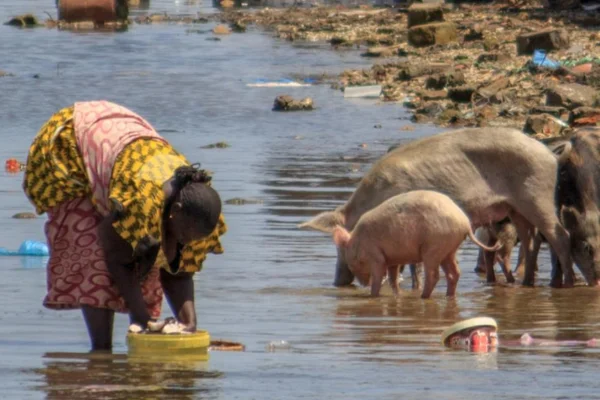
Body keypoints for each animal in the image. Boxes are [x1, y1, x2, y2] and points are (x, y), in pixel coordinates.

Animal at [330, 190, 504, 296]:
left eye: (350, 263)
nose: (363, 284)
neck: (358, 243)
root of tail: (465, 224)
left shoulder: (376, 256)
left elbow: (379, 277)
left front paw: (373, 295)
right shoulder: (392, 258)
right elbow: (393, 279)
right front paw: (397, 295)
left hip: (434, 246)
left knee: (434, 275)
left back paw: (423, 297)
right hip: (448, 248)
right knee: (454, 273)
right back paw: (447, 295)